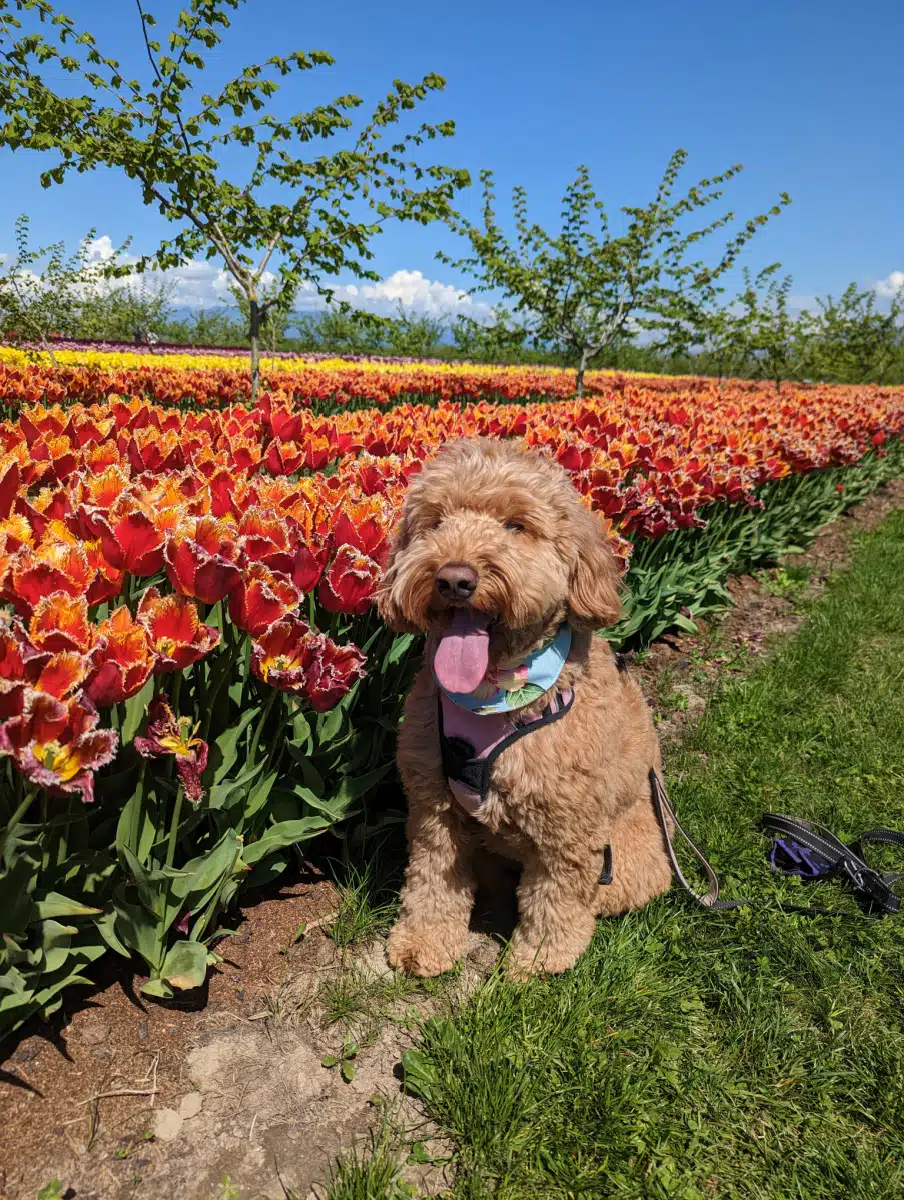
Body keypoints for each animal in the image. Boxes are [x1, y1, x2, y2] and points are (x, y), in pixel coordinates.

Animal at [374, 441, 672, 974]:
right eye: (435, 522)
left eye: (516, 525)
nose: (454, 579)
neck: (497, 695)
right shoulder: (434, 808)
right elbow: (432, 879)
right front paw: (423, 943)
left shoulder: (567, 828)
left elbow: (555, 897)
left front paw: (537, 962)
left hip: (627, 863)